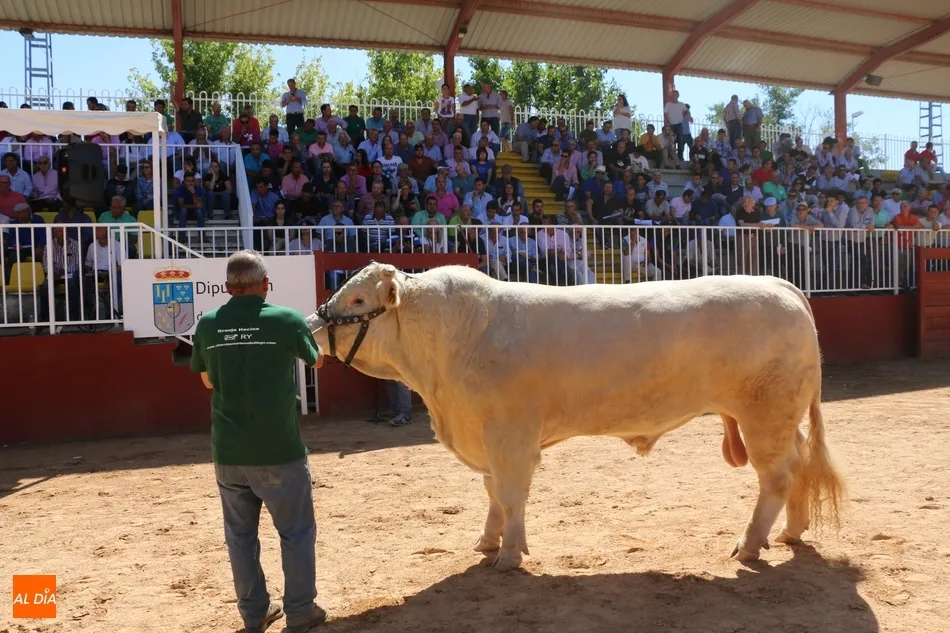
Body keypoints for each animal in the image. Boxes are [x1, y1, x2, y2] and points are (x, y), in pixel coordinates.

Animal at [306, 263, 844, 572]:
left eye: (358, 299)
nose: (313, 323)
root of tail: (778, 283)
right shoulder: (487, 438)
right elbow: (492, 495)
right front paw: (487, 541)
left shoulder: (510, 437)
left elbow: (510, 495)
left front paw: (509, 555)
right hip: (780, 418)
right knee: (798, 468)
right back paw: (791, 532)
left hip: (765, 415)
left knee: (776, 477)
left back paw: (750, 545)